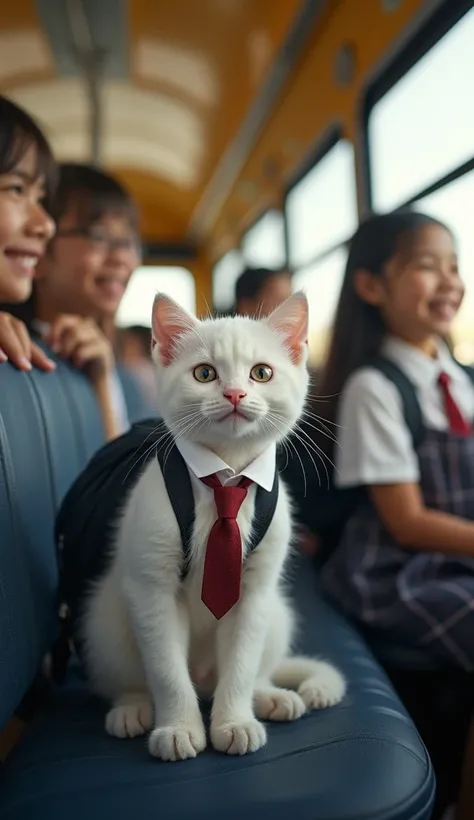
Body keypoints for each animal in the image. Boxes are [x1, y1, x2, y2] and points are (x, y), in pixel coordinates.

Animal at [81, 292, 344, 760]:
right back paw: (132, 708)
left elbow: (240, 664)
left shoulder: (255, 592)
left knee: (255, 669)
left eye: (262, 373)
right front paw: (178, 728)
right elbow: (166, 669)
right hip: (108, 616)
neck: (226, 478)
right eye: (204, 373)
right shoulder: (152, 589)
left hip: (277, 613)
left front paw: (234, 722)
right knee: (129, 678)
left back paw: (269, 696)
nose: (235, 392)